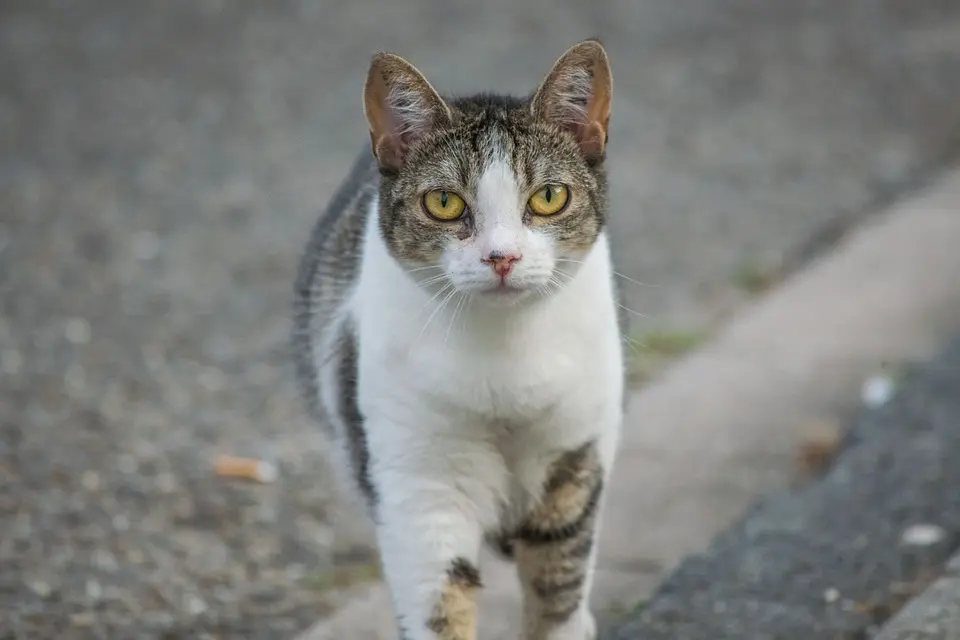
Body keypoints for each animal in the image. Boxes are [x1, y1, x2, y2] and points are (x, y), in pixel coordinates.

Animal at [292, 40, 624, 640]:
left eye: (548, 197)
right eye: (444, 203)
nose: (502, 257)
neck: (503, 356)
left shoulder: (575, 456)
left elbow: (559, 591)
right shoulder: (417, 489)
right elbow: (440, 604)